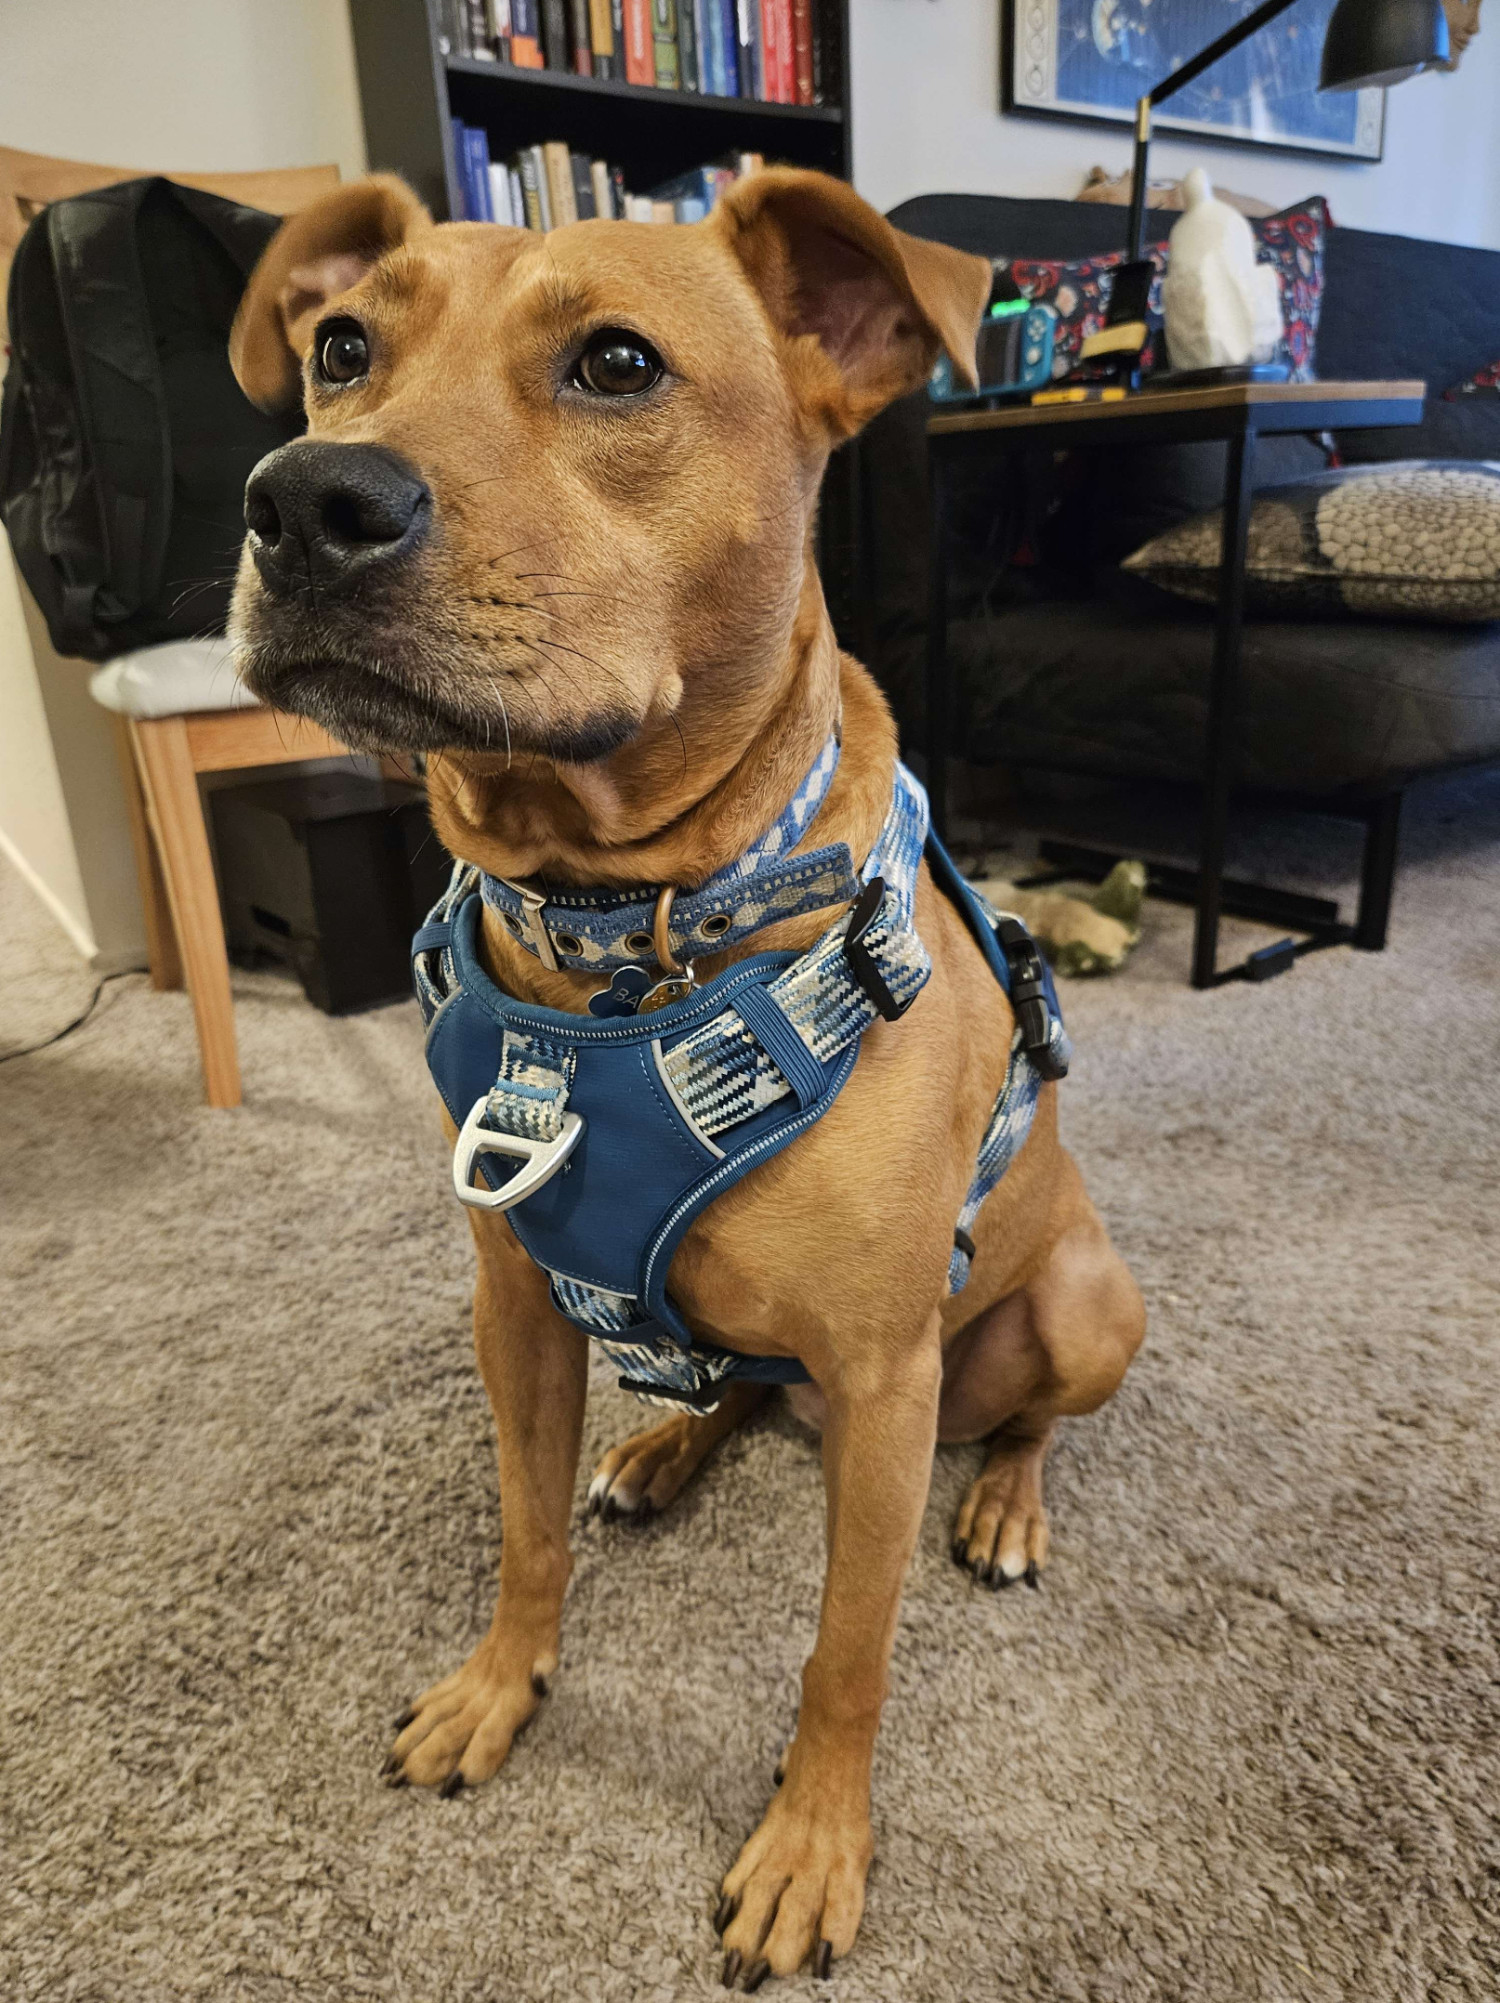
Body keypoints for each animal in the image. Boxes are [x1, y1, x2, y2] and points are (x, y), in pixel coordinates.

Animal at [228, 172, 1137, 1986]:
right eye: (343, 348)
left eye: (618, 364)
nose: (299, 501)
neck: (617, 930)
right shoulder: (512, 1299)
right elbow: (523, 1528)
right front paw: (500, 1686)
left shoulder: (885, 1376)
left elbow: (846, 1653)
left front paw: (811, 1846)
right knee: (726, 1386)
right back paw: (663, 1445)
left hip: (1081, 1304)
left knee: (1028, 1418)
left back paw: (1005, 1501)